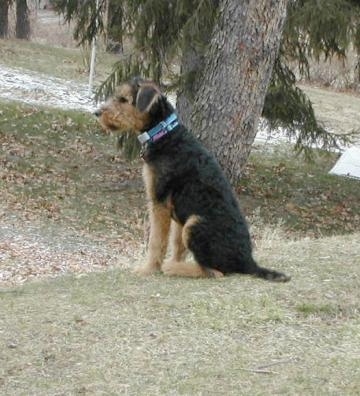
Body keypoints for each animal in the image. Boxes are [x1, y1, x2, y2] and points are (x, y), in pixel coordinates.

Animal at [94, 76, 292, 282]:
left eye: (124, 99)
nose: (97, 113)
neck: (166, 135)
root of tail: (249, 262)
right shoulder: (177, 213)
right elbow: (177, 245)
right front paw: (164, 263)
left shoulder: (159, 202)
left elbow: (156, 242)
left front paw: (148, 269)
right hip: (189, 223)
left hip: (195, 223)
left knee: (215, 272)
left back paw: (172, 268)